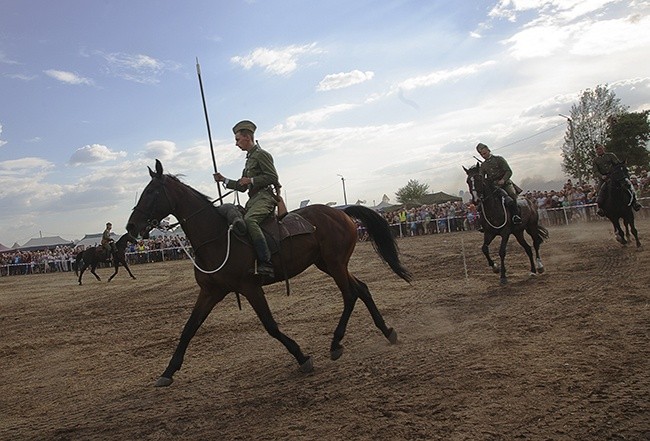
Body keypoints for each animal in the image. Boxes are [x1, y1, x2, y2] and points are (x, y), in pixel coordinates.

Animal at [126, 159, 410, 384]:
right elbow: (189, 328)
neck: (216, 238)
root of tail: (340, 212)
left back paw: (336, 343)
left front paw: (302, 357)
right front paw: (168, 372)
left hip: (336, 264)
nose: (131, 227)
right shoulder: (210, 292)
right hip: (329, 264)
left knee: (350, 295)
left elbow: (270, 326)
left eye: (151, 192)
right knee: (361, 289)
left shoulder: (250, 288)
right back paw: (387, 331)